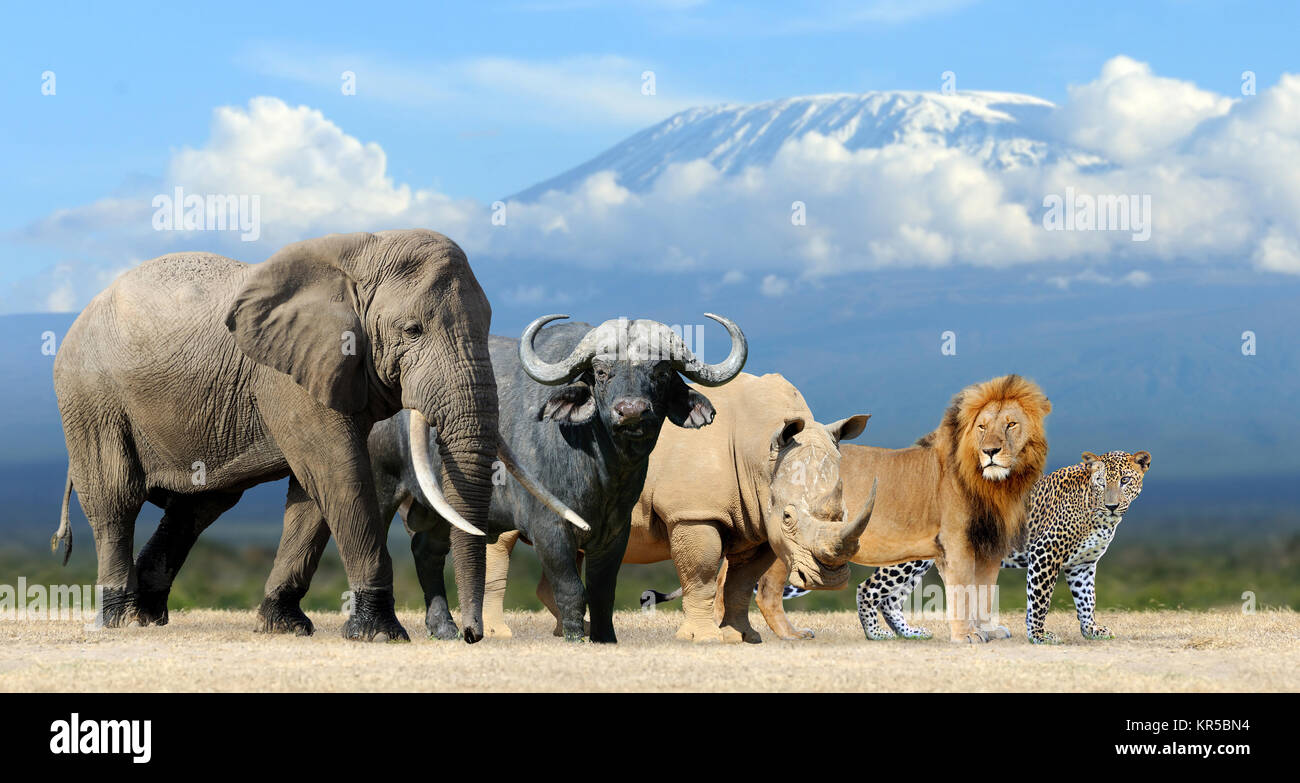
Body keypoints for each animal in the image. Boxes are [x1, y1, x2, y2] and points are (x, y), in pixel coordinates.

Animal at [50, 227, 579, 639]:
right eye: (412, 330)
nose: (471, 635)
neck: (364, 252)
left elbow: (311, 493)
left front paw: (282, 626)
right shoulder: (290, 373)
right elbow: (338, 472)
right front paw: (379, 633)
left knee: (199, 505)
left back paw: (147, 614)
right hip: (90, 396)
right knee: (117, 499)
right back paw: (122, 619)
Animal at [748, 371, 1050, 639]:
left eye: (1011, 424)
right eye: (982, 427)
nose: (990, 451)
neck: (996, 484)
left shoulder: (989, 545)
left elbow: (984, 592)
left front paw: (987, 631)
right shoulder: (957, 542)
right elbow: (962, 592)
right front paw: (967, 636)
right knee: (766, 592)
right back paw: (791, 635)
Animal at [857, 447, 1154, 642]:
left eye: (1125, 481)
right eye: (1101, 482)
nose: (1112, 505)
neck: (1098, 515)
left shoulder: (1083, 564)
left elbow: (1087, 600)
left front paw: (1092, 630)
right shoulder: (1045, 553)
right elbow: (1040, 599)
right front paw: (1039, 635)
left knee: (891, 599)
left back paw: (910, 633)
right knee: (869, 588)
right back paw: (875, 634)